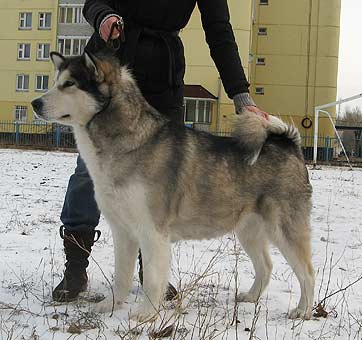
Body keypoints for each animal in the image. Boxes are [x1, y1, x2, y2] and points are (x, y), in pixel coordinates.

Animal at [31, 51, 314, 320]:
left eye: (69, 84)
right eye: (55, 82)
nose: (35, 103)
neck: (132, 143)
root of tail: (288, 144)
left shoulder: (152, 232)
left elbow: (152, 279)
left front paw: (145, 314)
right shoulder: (123, 231)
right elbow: (121, 276)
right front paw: (111, 306)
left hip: (283, 229)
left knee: (308, 273)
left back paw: (303, 311)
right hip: (248, 230)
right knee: (266, 266)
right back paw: (251, 297)